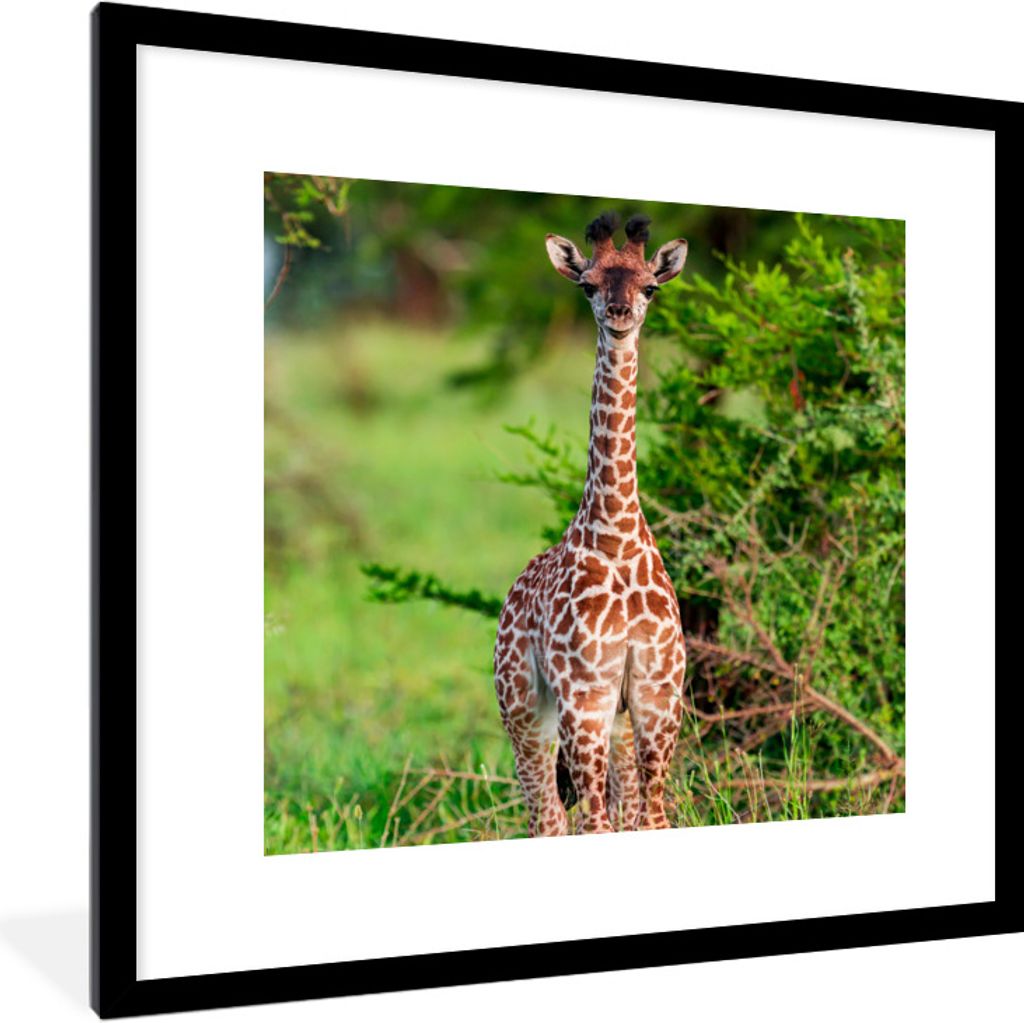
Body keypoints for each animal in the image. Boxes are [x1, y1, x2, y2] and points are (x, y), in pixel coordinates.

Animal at [494, 212, 689, 837]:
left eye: (650, 287)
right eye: (588, 285)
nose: (620, 315)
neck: (617, 533)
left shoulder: (656, 697)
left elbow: (651, 820)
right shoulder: (584, 697)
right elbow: (591, 824)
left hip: (616, 725)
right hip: (525, 711)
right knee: (548, 817)